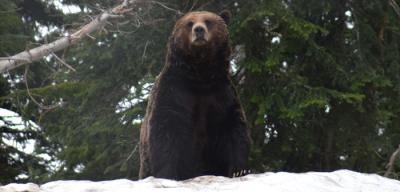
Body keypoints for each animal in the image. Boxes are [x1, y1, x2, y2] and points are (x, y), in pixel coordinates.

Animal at [138, 9, 250, 181]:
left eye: (208, 21)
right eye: (189, 22)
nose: (199, 30)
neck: (200, 74)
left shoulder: (221, 94)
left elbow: (234, 128)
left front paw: (239, 170)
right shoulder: (174, 92)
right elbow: (165, 129)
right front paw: (167, 174)